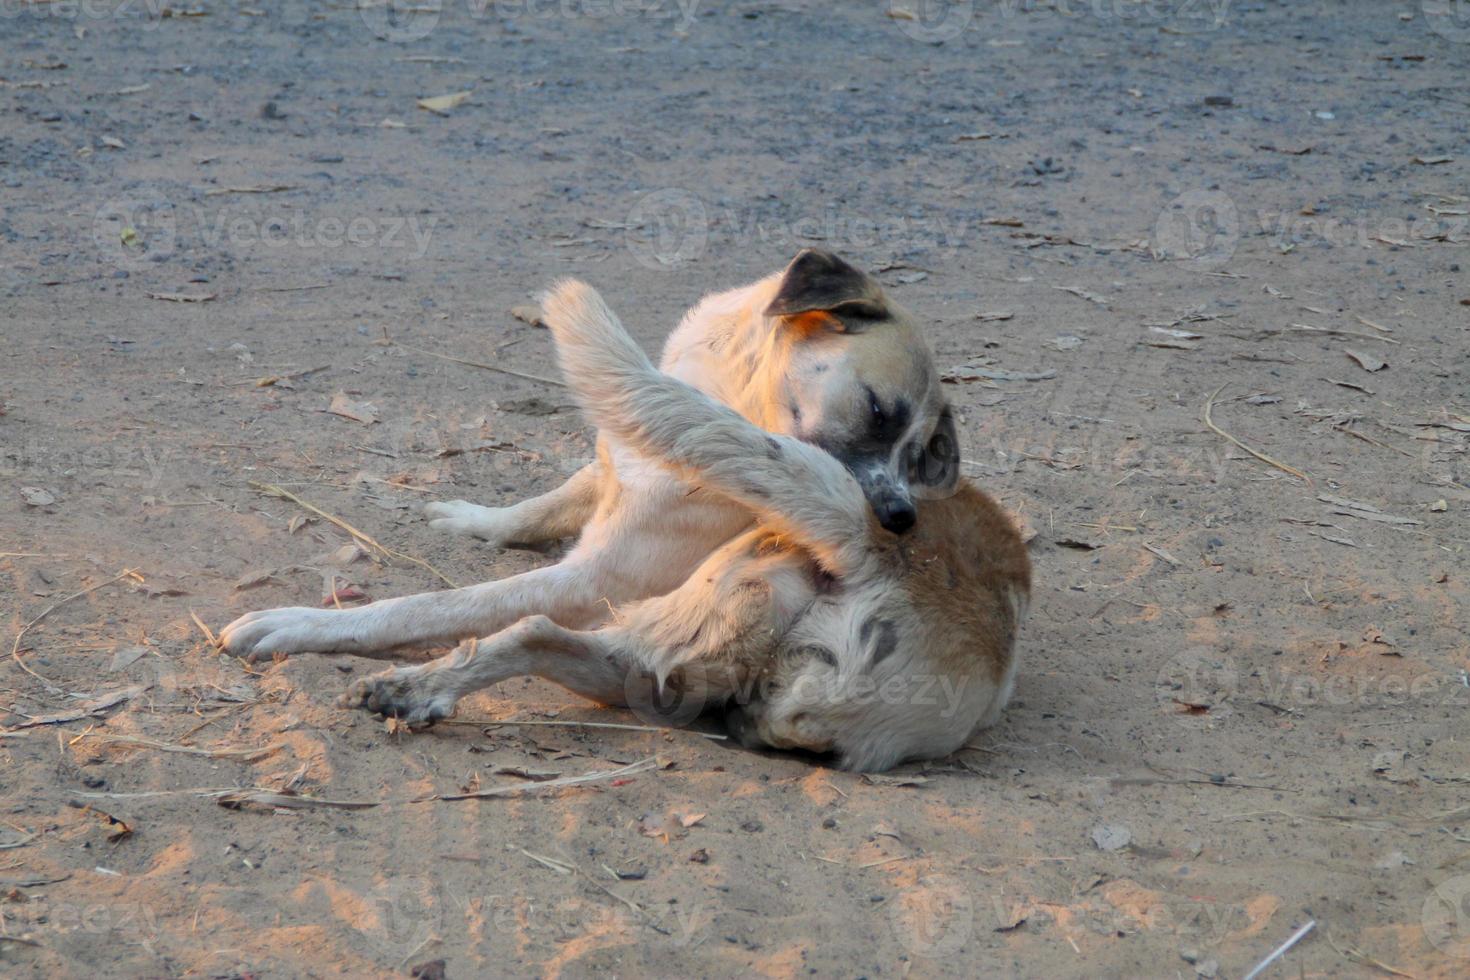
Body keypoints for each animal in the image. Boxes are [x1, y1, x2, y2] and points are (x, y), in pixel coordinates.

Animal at [341, 277, 1034, 775]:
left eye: (919, 456)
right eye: (879, 412)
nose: (901, 516)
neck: (733, 396)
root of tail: (880, 556)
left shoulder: (591, 579)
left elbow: (429, 606)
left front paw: (322, 626)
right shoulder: (612, 471)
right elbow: (544, 503)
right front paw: (472, 519)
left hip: (688, 606)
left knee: (531, 631)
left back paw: (415, 686)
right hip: (673, 668)